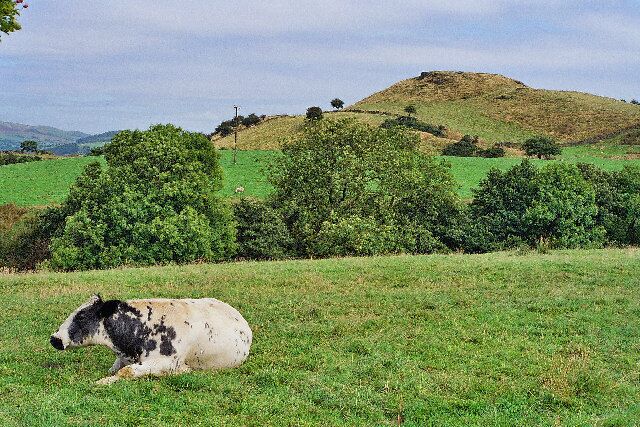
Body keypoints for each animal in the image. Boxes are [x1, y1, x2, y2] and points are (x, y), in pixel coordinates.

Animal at [50, 295, 252, 385]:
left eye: (81, 316)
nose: (55, 338)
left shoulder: (167, 362)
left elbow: (125, 372)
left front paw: (102, 382)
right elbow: (114, 369)